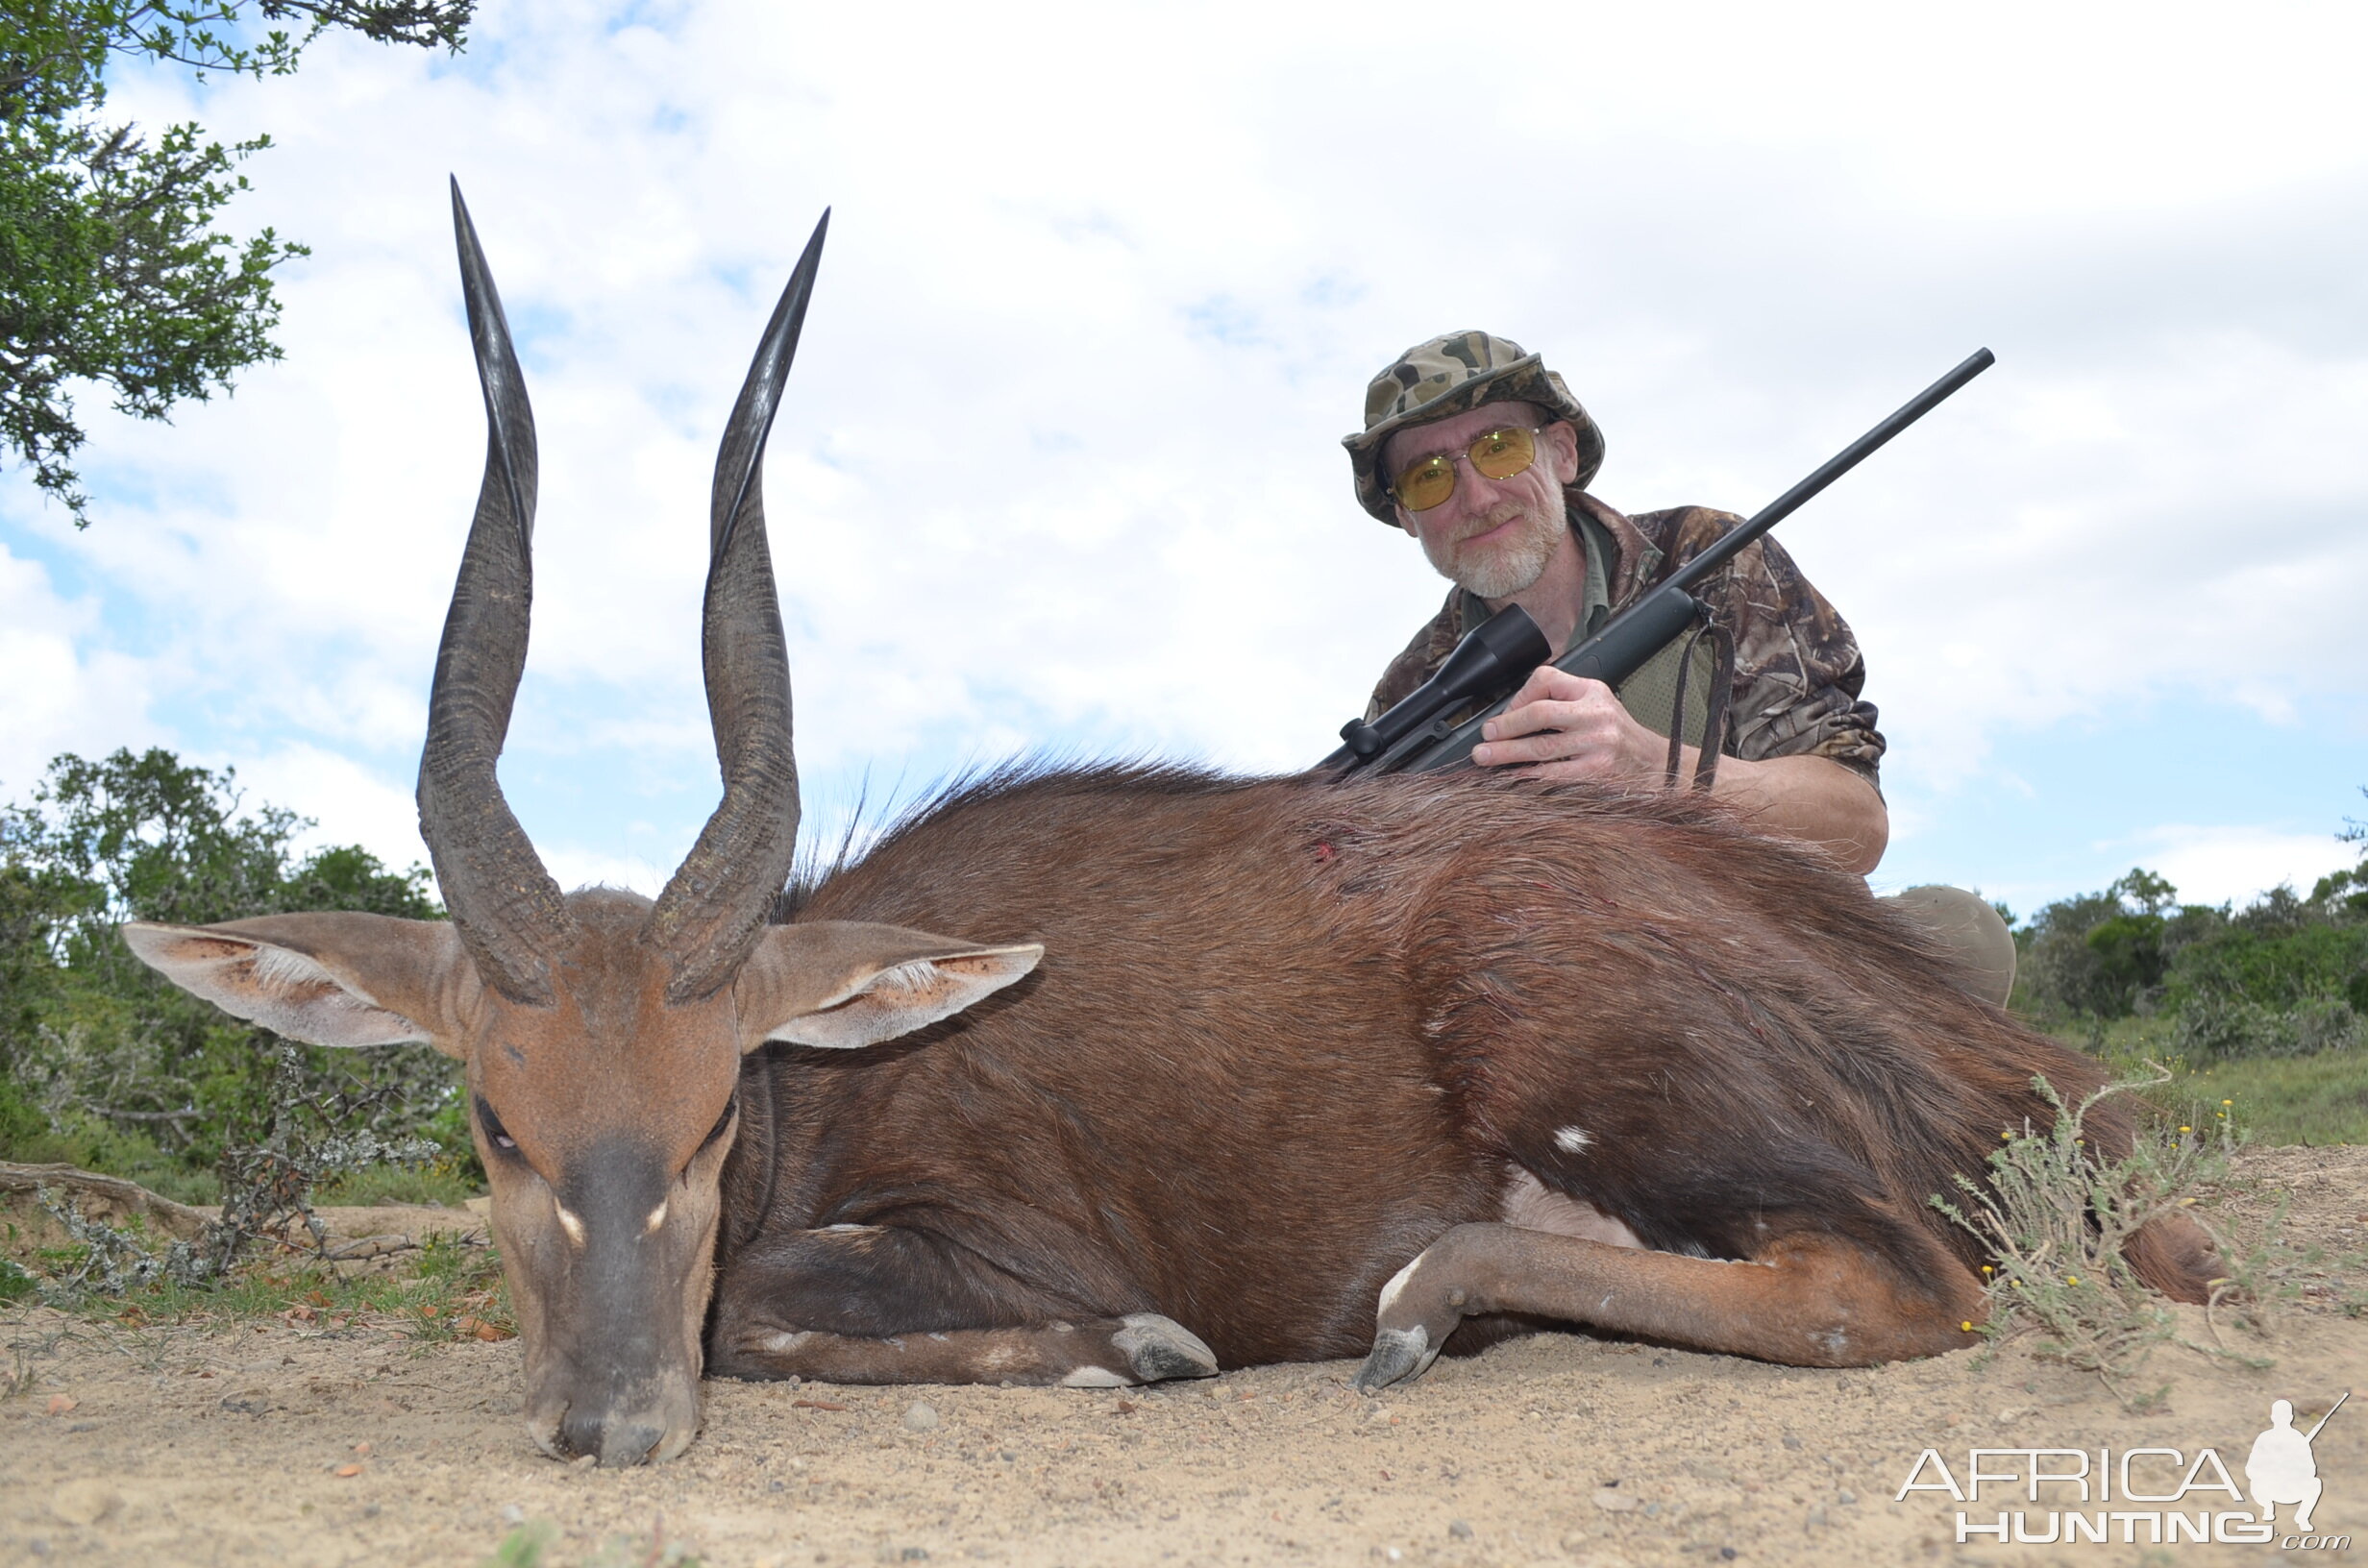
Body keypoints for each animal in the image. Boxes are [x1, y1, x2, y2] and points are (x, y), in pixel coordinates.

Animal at [124, 190, 2216, 1468]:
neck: (837, 1067)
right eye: (494, 1117)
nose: (610, 1428)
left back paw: (1419, 1305)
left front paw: (1138, 1345)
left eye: (715, 1111)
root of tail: (2018, 1078)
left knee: (1895, 1284)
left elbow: (776, 1311)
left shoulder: (978, 1235)